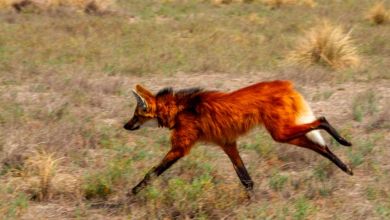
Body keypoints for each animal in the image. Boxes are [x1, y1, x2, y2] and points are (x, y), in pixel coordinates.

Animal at [125, 80, 354, 195]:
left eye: (136, 115)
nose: (125, 126)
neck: (178, 110)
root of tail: (285, 84)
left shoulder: (180, 148)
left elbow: (151, 174)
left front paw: (132, 194)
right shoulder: (228, 144)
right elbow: (246, 180)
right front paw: (251, 202)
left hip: (280, 133)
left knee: (321, 120)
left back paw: (344, 141)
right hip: (284, 133)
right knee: (321, 147)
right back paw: (346, 168)